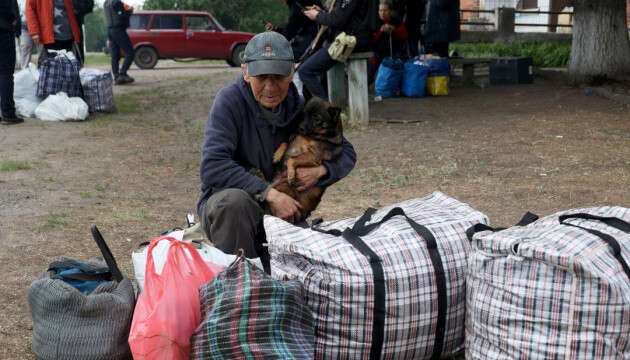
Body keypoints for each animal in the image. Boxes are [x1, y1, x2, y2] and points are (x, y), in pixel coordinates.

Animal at [270, 91, 344, 221]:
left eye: (317, 118)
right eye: (304, 113)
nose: (300, 127)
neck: (311, 136)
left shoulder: (313, 156)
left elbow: (291, 159)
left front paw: (291, 173)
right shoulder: (294, 137)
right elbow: (285, 142)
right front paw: (277, 155)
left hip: (285, 188)